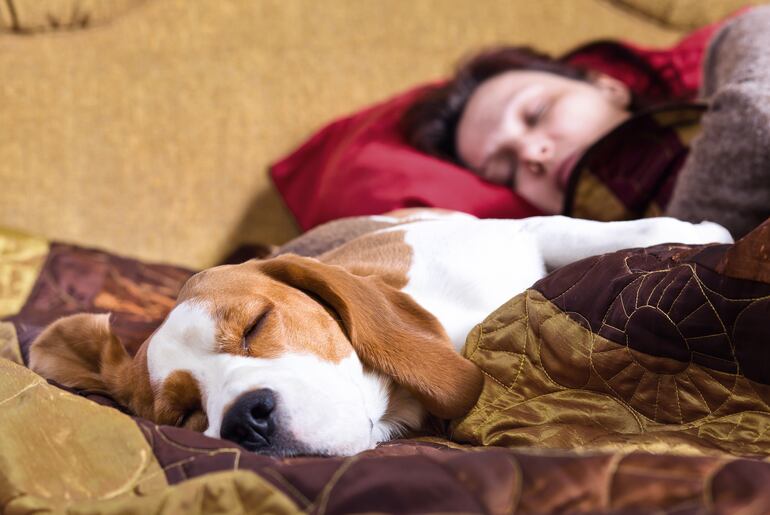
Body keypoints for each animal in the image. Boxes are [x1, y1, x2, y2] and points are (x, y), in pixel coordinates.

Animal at [30, 213, 728, 456]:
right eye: (181, 416)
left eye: (256, 325)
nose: (246, 420)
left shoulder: (524, 229)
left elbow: (609, 232)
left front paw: (707, 234)